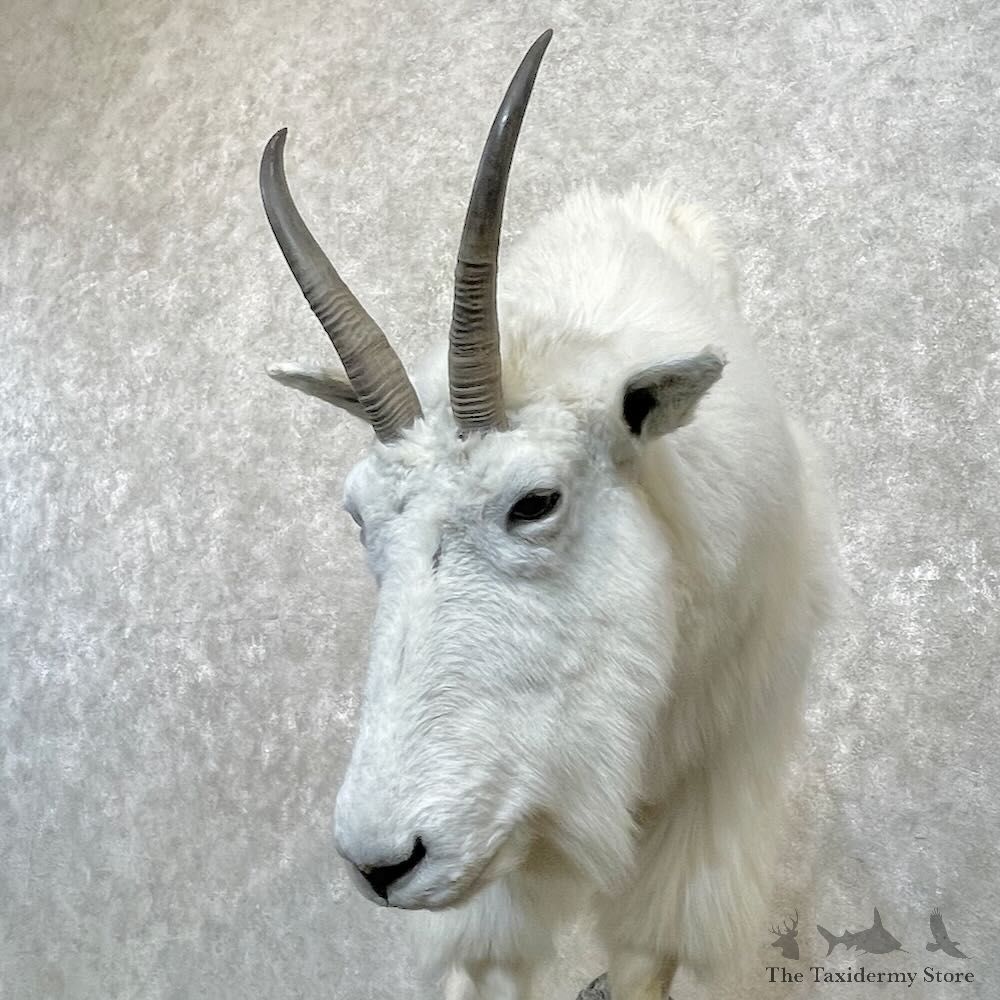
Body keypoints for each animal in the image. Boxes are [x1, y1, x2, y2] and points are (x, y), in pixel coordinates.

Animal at [260, 29, 836, 1000]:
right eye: (358, 516)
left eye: (536, 502)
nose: (386, 861)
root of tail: (625, 200)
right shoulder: (498, 867)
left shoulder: (708, 790)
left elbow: (650, 955)